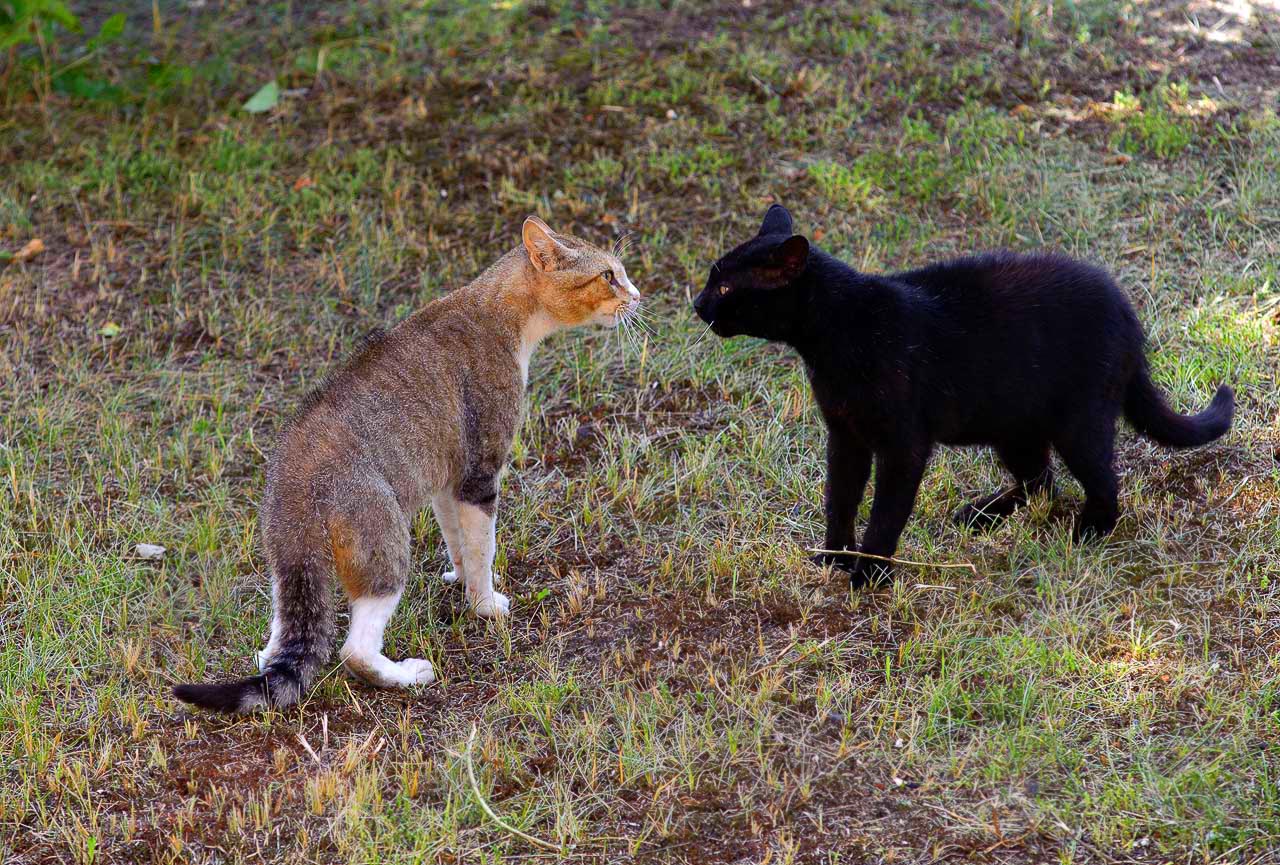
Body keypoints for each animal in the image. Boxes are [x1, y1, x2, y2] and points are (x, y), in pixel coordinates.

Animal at [696, 204, 1233, 588]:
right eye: (711, 278)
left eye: (725, 286)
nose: (697, 303)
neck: (835, 334)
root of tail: (1127, 312)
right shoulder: (845, 435)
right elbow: (840, 498)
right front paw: (835, 557)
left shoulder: (903, 445)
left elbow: (886, 511)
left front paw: (870, 574)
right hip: (1014, 426)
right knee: (1042, 482)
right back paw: (981, 515)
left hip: (1077, 423)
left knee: (1102, 482)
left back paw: (1088, 533)